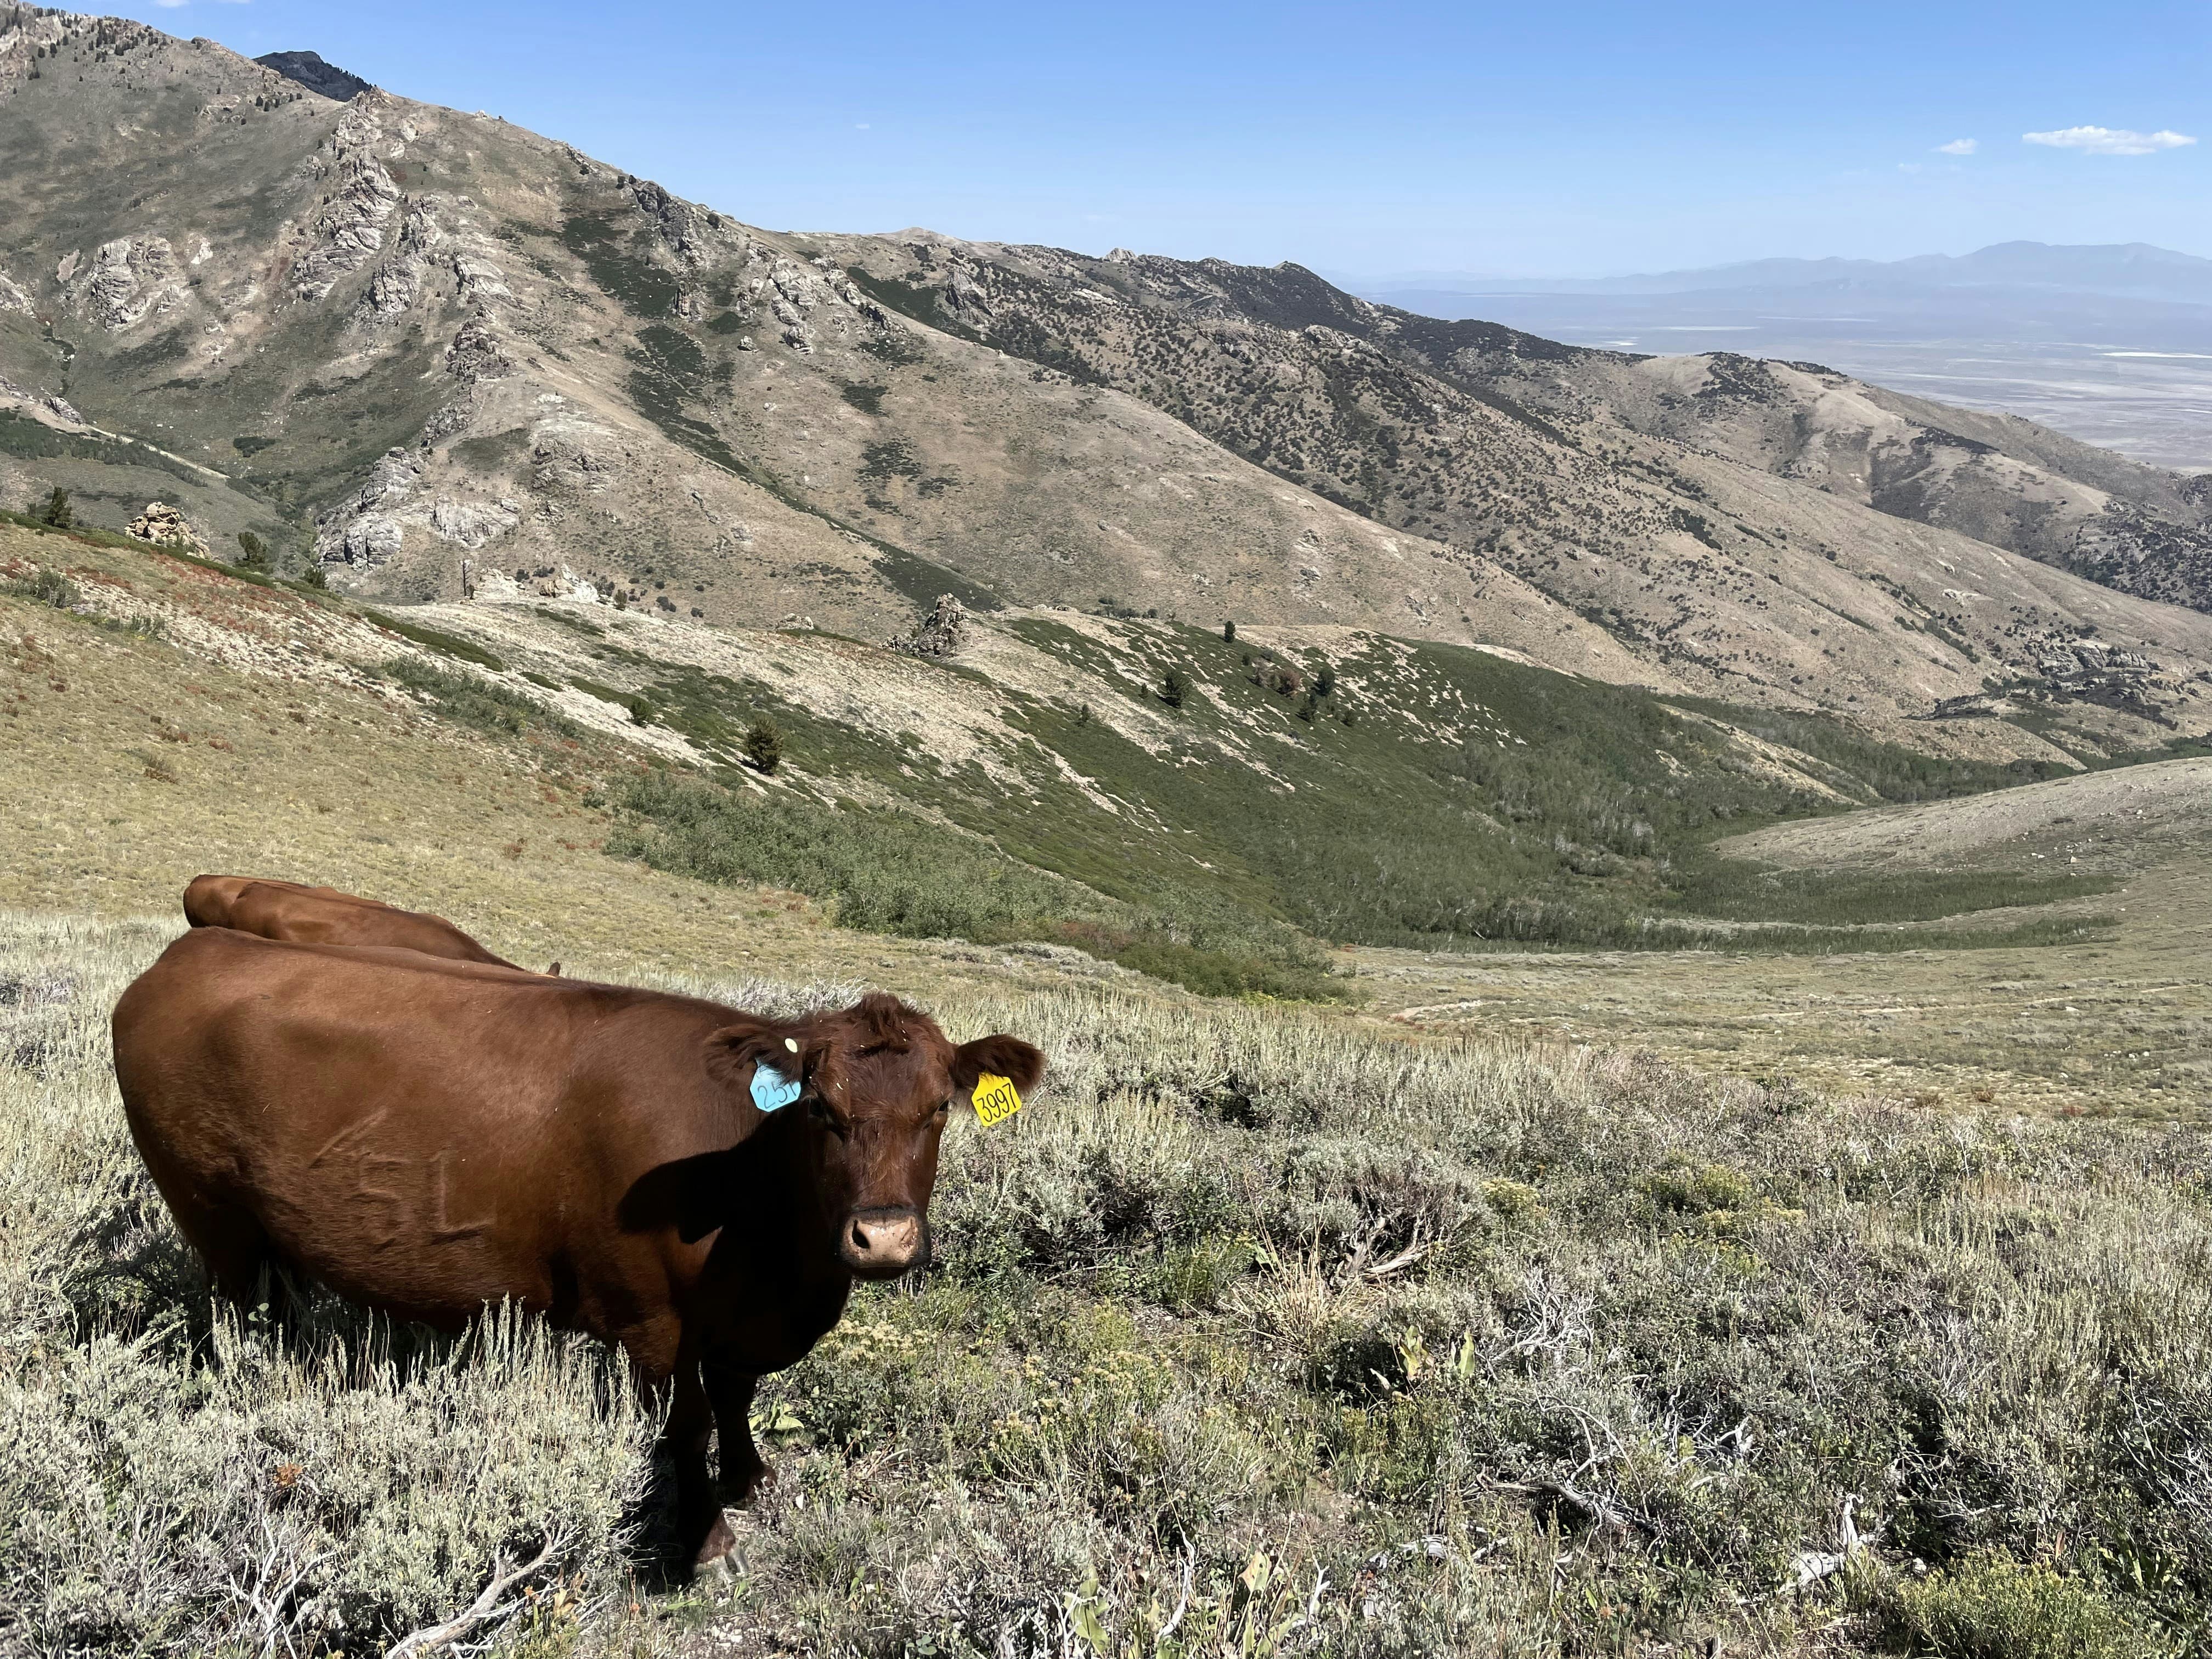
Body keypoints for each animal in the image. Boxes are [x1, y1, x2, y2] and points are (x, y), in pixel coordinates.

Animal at [104, 938, 1035, 1575]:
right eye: (820, 1111)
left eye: (938, 1110)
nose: (884, 1239)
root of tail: (195, 950)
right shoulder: (651, 1319)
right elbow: (687, 1422)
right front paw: (706, 1541)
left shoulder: (737, 1321)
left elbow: (736, 1398)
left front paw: (751, 1479)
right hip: (212, 1216)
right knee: (238, 1320)